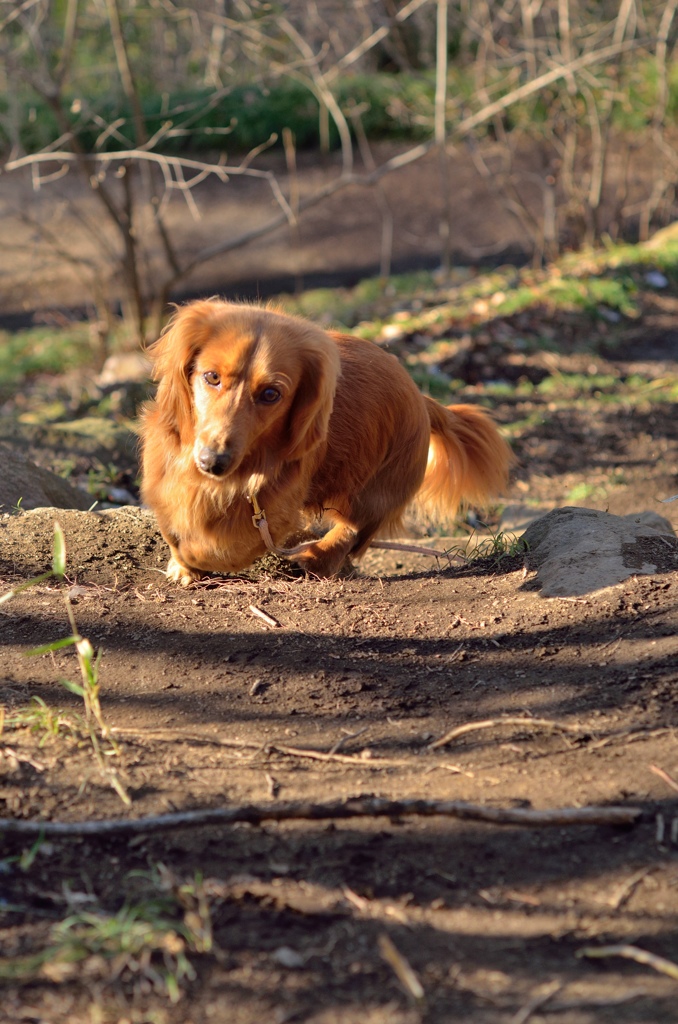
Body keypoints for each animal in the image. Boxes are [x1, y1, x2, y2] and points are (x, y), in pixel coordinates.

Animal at [139, 299, 516, 585]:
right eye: (211, 377)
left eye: (271, 394)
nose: (212, 461)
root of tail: (423, 401)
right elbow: (171, 520)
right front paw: (181, 562)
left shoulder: (270, 511)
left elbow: (219, 544)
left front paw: (194, 558)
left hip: (377, 490)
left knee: (353, 531)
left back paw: (317, 558)